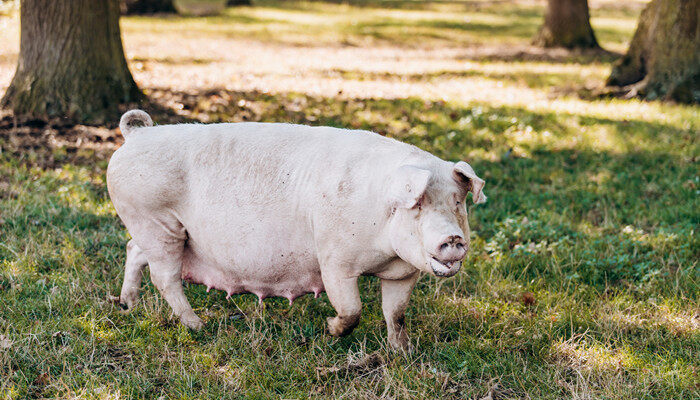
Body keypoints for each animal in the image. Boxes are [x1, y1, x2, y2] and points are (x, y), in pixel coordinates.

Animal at [108, 110, 486, 350]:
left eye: (456, 202)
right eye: (418, 204)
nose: (453, 238)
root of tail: (136, 134)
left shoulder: (403, 273)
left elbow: (396, 314)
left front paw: (401, 352)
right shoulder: (334, 259)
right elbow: (352, 309)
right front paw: (330, 330)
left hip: (154, 231)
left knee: (133, 250)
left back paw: (128, 305)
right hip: (156, 222)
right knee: (164, 277)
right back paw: (199, 326)